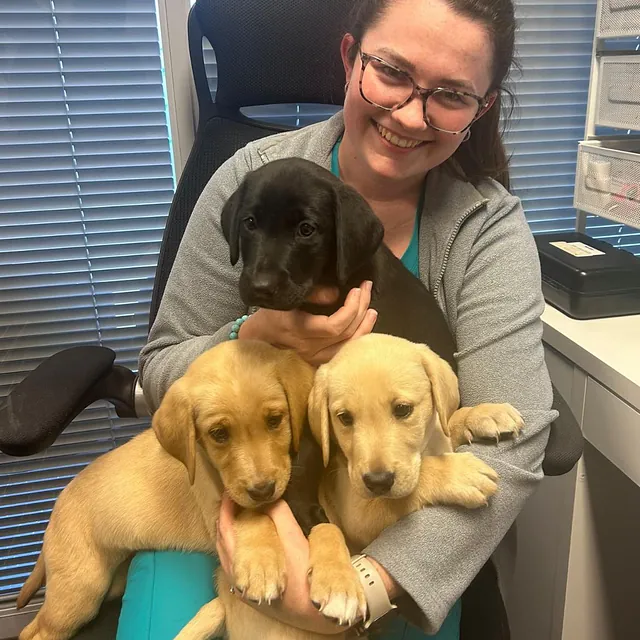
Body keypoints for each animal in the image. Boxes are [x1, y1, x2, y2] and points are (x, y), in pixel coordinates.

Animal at [17, 340, 356, 640]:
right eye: (218, 434)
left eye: (275, 420)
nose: (262, 489)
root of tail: (58, 504)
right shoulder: (220, 507)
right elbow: (254, 514)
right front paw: (261, 566)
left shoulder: (312, 506)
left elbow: (329, 529)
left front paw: (340, 583)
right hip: (81, 589)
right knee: (34, 631)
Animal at [308, 336, 524, 552]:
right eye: (344, 418)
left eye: (403, 409)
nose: (378, 482)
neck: (426, 447)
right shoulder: (357, 516)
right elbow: (408, 489)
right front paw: (458, 473)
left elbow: (451, 420)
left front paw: (485, 413)